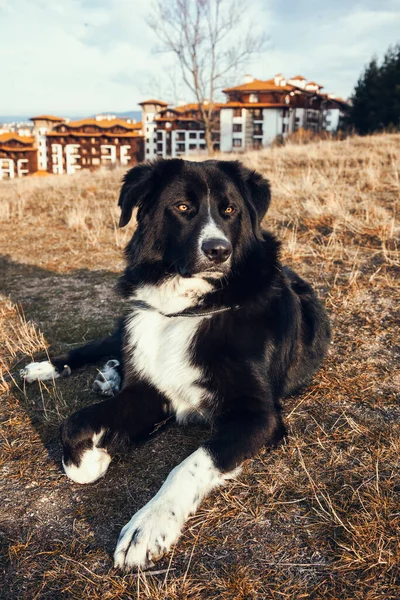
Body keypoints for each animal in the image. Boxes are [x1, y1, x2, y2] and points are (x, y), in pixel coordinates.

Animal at [20, 159, 330, 572]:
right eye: (183, 207)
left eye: (229, 210)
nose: (218, 251)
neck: (190, 306)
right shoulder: (149, 391)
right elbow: (72, 426)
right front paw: (94, 460)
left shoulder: (258, 417)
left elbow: (191, 463)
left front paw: (148, 524)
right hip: (129, 323)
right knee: (98, 346)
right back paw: (49, 368)